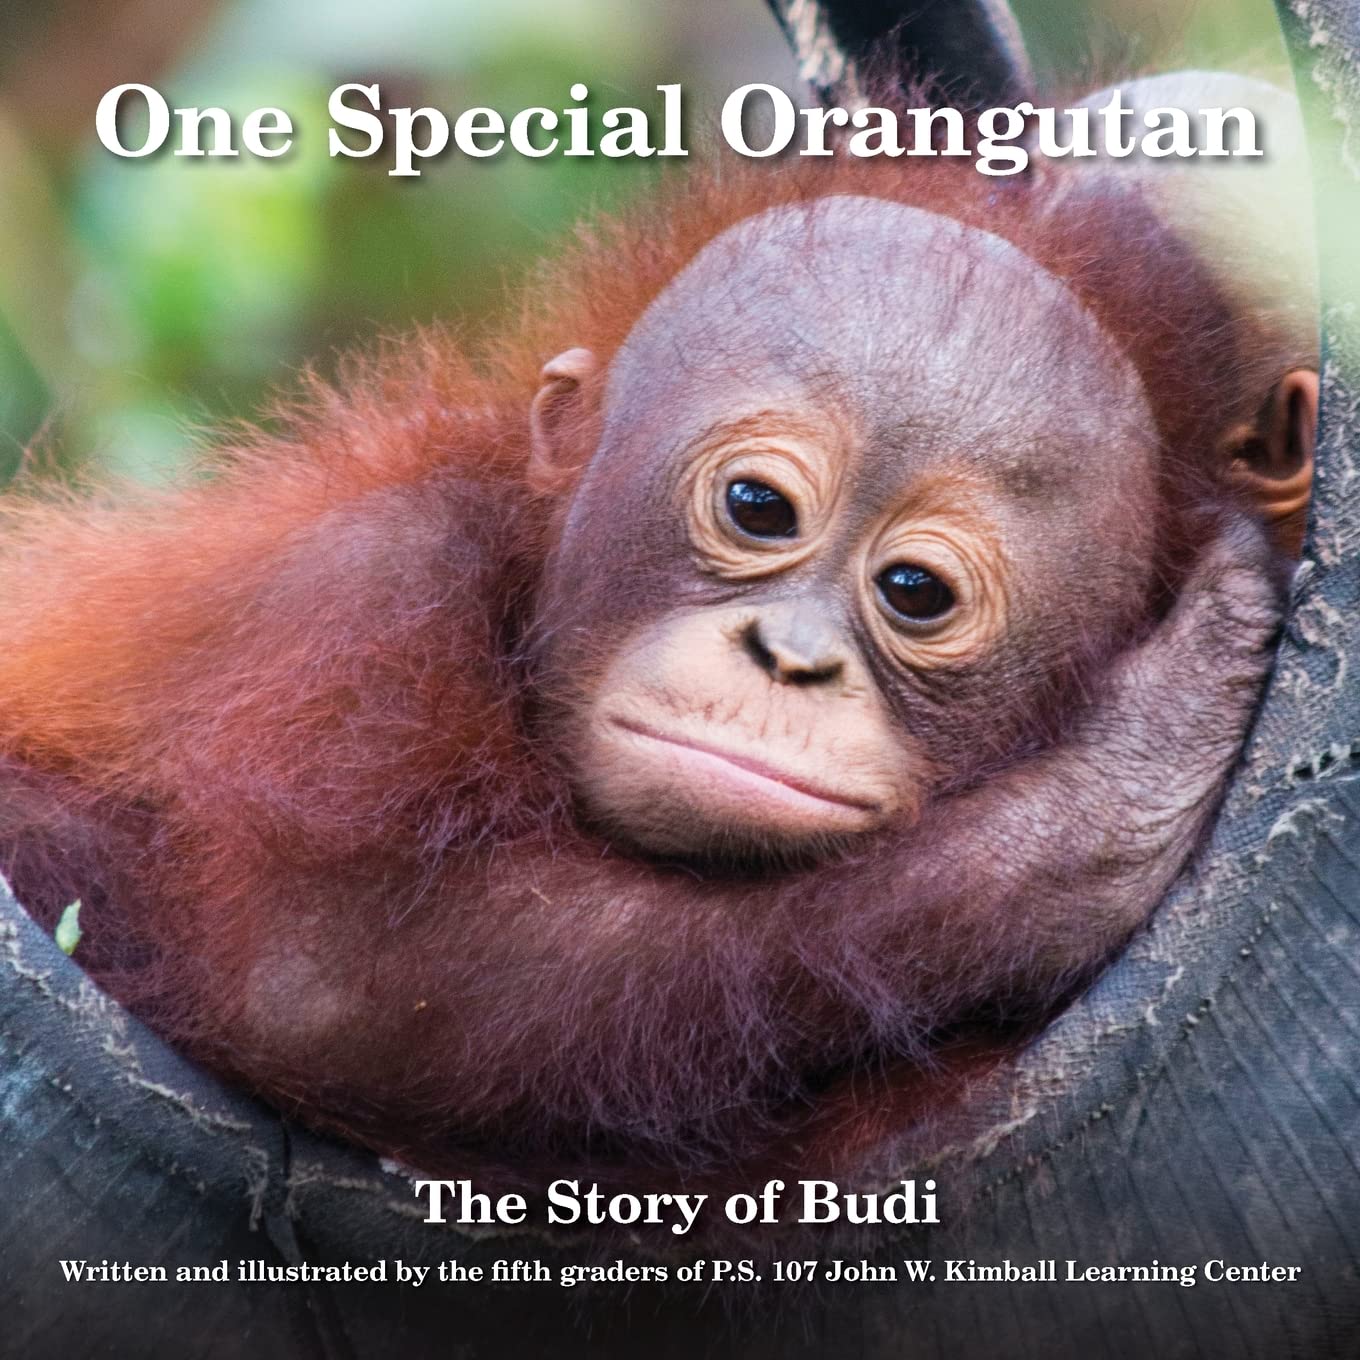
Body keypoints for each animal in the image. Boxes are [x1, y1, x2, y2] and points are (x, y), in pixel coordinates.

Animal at [0, 85, 1318, 1186]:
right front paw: (1110, 800)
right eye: (757, 508)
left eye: (915, 590)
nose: (788, 657)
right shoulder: (357, 594)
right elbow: (322, 979)